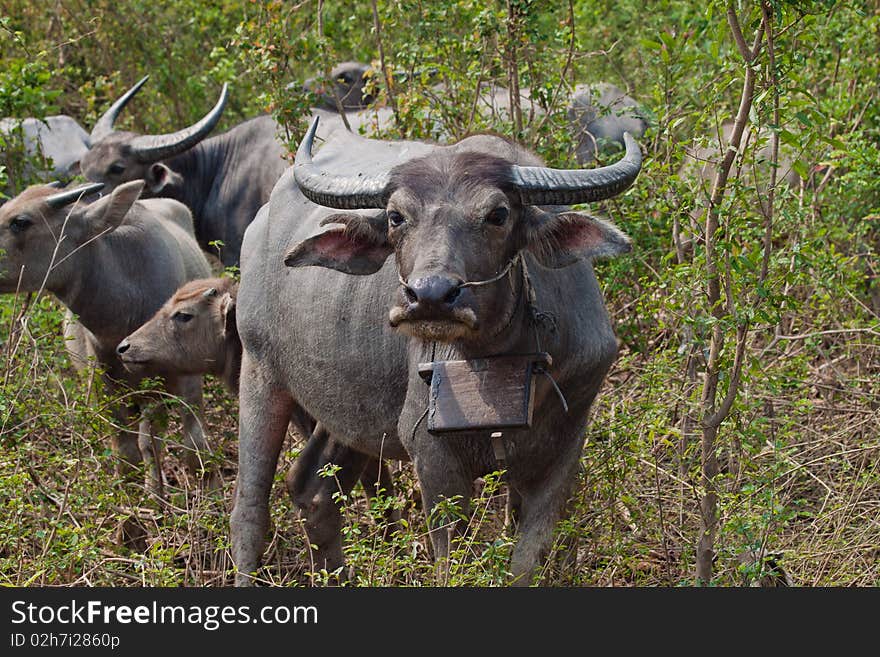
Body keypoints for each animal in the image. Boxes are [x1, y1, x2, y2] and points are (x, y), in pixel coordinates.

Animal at [230, 116, 644, 584]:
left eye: (498, 214)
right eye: (396, 217)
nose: (429, 296)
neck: (493, 361)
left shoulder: (564, 446)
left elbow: (527, 559)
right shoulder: (432, 457)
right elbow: (453, 562)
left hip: (346, 409)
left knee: (312, 489)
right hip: (258, 372)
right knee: (250, 507)